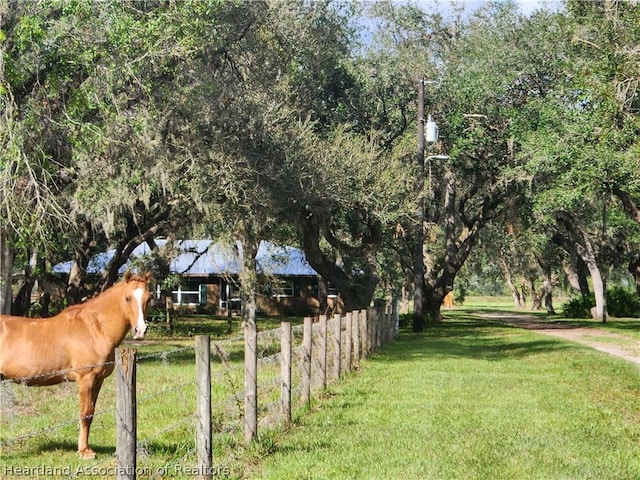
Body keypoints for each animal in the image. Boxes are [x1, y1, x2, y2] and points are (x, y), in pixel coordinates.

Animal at [0, 270, 151, 458]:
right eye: (128, 298)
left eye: (149, 298)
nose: (140, 331)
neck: (95, 328)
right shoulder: (87, 378)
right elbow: (85, 414)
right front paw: (85, 452)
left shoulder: (98, 380)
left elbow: (91, 414)